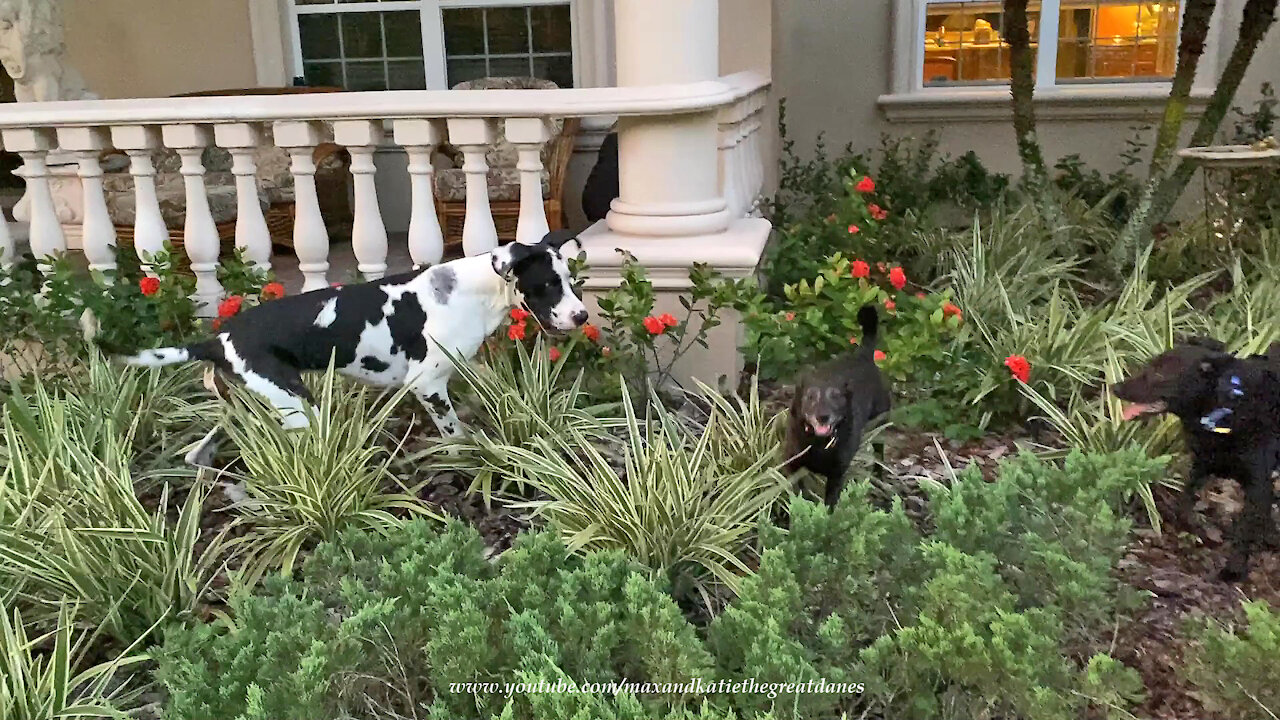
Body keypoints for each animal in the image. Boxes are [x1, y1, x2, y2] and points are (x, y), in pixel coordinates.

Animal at [778, 302, 890, 504]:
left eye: (836, 396)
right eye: (810, 396)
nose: (823, 416)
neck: (818, 442)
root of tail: (863, 355)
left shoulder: (836, 475)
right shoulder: (793, 464)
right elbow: (800, 494)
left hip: (880, 422)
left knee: (879, 453)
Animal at [1111, 338, 1280, 579]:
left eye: (1160, 374)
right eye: (1149, 365)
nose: (1115, 388)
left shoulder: (1258, 483)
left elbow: (1244, 529)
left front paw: (1234, 568)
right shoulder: (1202, 464)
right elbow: (1183, 504)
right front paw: (1197, 527)